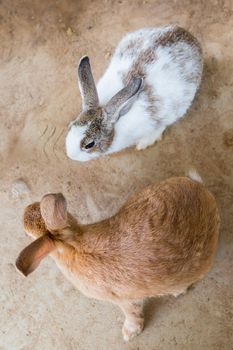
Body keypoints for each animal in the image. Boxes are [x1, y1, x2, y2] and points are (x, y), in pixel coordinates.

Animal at [15, 171, 218, 340]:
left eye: (27, 233)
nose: (27, 208)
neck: (72, 246)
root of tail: (201, 190)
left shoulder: (121, 299)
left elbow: (132, 313)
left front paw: (129, 334)